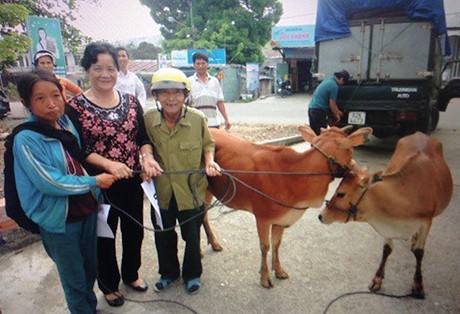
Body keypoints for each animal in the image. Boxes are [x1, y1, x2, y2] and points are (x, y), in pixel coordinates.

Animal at [207, 125, 372, 288]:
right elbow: (265, 246)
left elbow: (277, 244)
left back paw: (213, 244)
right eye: (351, 149)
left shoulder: (282, 218)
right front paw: (264, 277)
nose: (356, 167)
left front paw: (279, 270)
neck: (294, 176)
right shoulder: (262, 217)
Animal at [318, 132, 452, 300]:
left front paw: (418, 286)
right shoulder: (387, 225)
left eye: (341, 194)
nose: (321, 215)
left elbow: (419, 252)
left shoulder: (427, 221)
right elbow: (387, 249)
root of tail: (419, 133)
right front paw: (377, 280)